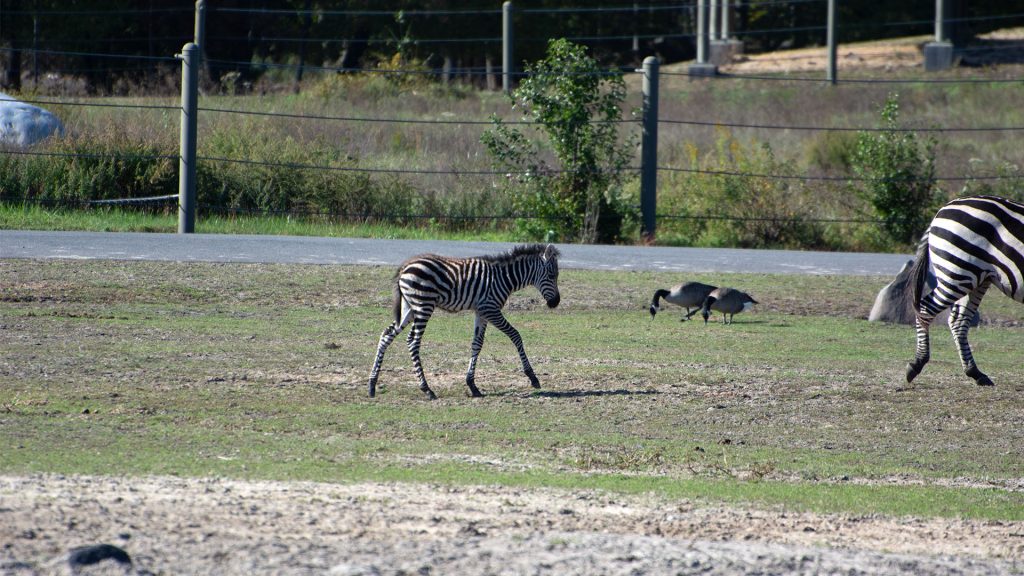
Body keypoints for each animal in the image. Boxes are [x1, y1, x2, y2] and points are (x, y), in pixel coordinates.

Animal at [367, 243, 561, 400]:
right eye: (552, 275)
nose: (555, 303)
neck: (504, 278)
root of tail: (405, 267)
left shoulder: (481, 312)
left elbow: (477, 344)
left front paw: (472, 385)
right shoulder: (490, 309)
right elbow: (515, 335)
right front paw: (532, 377)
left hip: (409, 308)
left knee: (386, 335)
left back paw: (372, 385)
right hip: (423, 305)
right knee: (413, 341)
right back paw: (427, 389)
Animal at [905, 195, 1024, 387]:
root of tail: (943, 209)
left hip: (977, 278)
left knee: (958, 320)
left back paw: (975, 372)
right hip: (959, 272)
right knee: (926, 309)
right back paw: (917, 363)